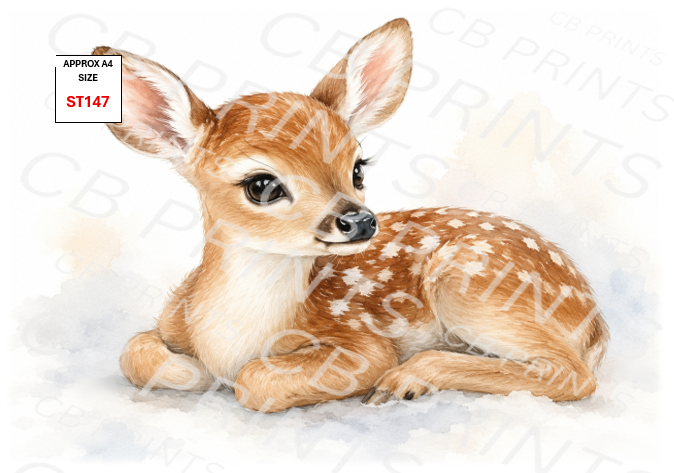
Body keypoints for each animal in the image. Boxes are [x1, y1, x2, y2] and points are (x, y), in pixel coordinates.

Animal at [92, 18, 608, 413]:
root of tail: (593, 317)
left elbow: (255, 381)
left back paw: (407, 380)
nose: (360, 221)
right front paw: (189, 369)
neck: (233, 335)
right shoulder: (169, 319)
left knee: (574, 374)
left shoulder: (363, 344)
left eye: (358, 168)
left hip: (471, 284)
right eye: (261, 185)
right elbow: (134, 351)